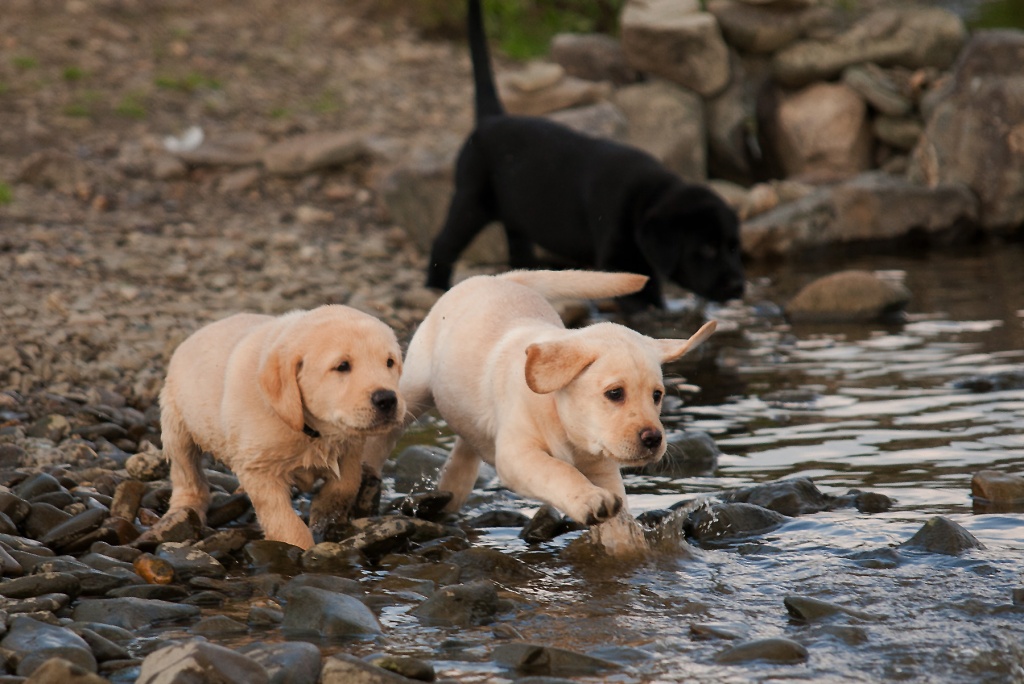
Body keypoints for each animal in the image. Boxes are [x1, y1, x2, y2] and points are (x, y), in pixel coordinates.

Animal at [157, 305, 401, 548]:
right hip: (175, 422)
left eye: (390, 362)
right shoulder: (259, 468)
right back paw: (184, 508)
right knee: (186, 471)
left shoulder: (350, 448)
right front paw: (300, 547)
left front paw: (325, 511)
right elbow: (283, 519)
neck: (312, 430)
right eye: (342, 366)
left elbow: (347, 484)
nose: (387, 399)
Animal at [364, 270, 716, 528]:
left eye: (657, 396)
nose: (654, 439)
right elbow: (558, 471)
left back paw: (452, 486)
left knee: (468, 443)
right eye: (615, 393)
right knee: (387, 436)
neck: (560, 417)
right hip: (415, 390)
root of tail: (498, 278)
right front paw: (589, 499)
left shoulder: (601, 465)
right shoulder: (518, 456)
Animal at [428, 0, 749, 307]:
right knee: (443, 244)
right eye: (706, 249)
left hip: (515, 215)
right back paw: (436, 286)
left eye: (734, 248)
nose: (738, 287)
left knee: (518, 251)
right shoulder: (619, 258)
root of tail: (491, 120)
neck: (646, 199)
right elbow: (640, 299)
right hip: (471, 201)